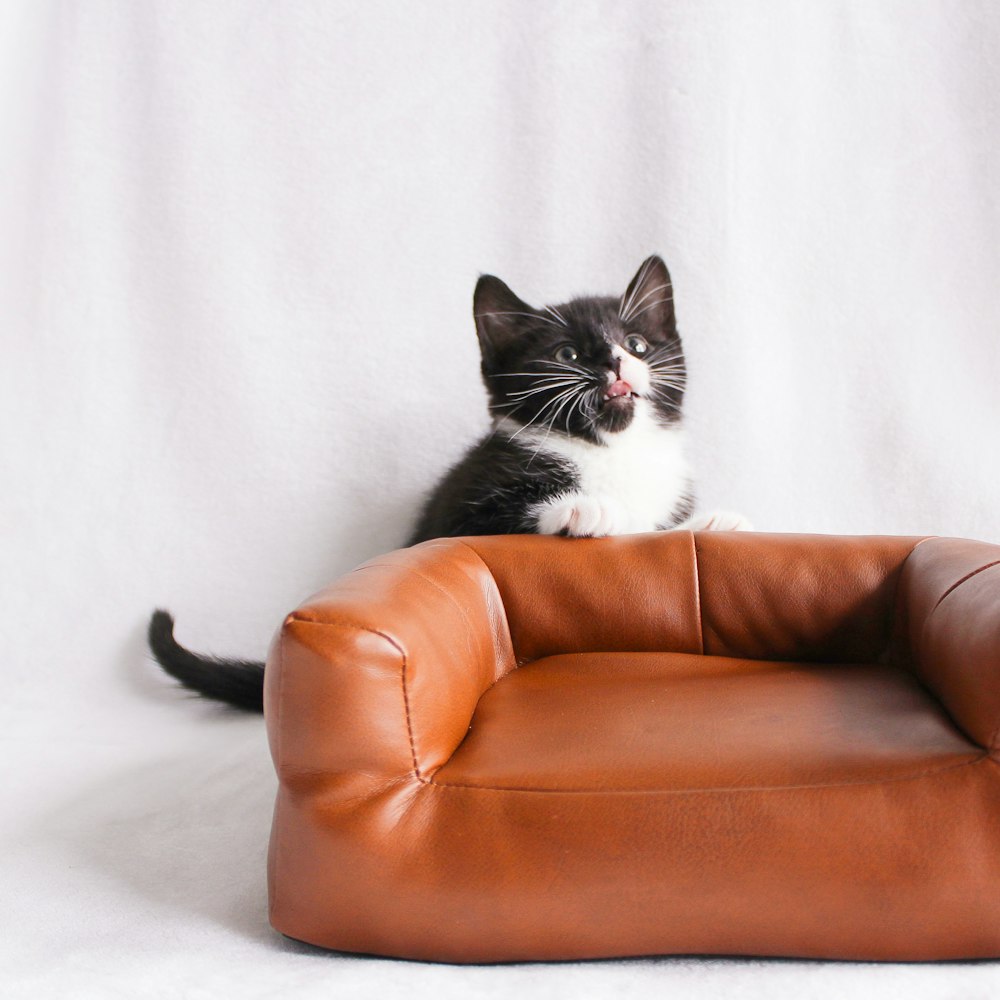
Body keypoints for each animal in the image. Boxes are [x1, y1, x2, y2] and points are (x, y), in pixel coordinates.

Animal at [148, 258, 752, 712]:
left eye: (638, 343)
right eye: (568, 355)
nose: (617, 361)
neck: (609, 450)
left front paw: (713, 521)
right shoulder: (465, 502)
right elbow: (499, 514)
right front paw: (583, 509)